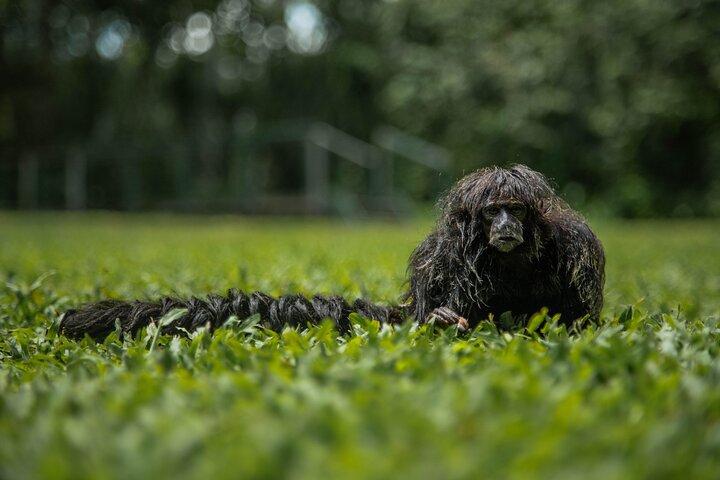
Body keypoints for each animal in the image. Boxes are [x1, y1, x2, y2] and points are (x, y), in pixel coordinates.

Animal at [60, 164, 605, 341]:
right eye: (493, 212)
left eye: (516, 209)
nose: (508, 225)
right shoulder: (442, 253)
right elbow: (429, 315)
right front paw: (442, 319)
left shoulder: (578, 245)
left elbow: (581, 320)